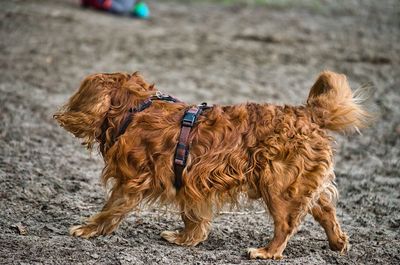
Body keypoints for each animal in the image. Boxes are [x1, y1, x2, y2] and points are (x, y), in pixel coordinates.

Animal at [53, 70, 368, 258]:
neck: (137, 108)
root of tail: (308, 114)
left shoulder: (130, 182)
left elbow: (109, 209)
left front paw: (89, 229)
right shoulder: (189, 181)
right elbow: (193, 218)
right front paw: (185, 239)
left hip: (279, 187)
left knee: (286, 225)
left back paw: (266, 252)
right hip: (299, 182)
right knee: (326, 211)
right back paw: (338, 243)